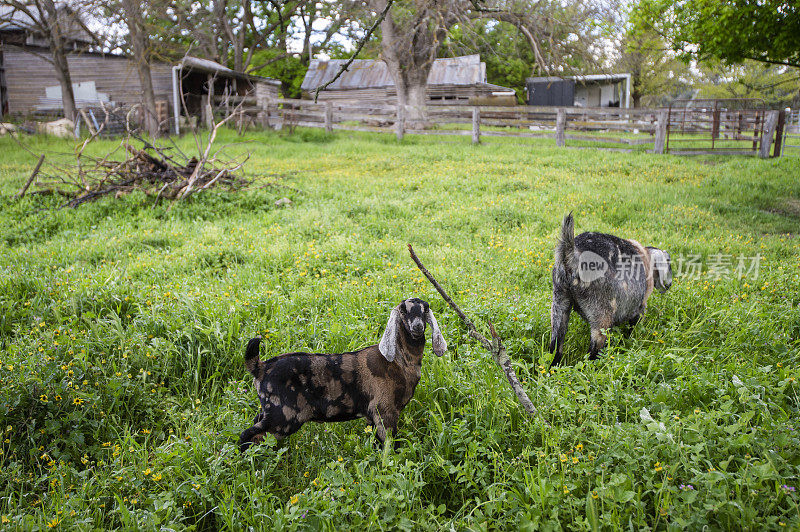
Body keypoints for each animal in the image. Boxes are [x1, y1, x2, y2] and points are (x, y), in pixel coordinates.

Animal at [238, 298, 450, 450]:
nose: (417, 327)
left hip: (271, 410)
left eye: (426, 309)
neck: (399, 360)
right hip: (284, 416)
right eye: (403, 310)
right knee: (247, 435)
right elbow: (390, 445)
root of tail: (260, 367)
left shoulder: (371, 416)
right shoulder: (384, 409)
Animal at [548, 212, 672, 366]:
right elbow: (632, 328)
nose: (669, 285)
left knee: (555, 347)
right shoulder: (640, 307)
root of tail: (571, 253)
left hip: (559, 304)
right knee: (593, 352)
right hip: (601, 315)